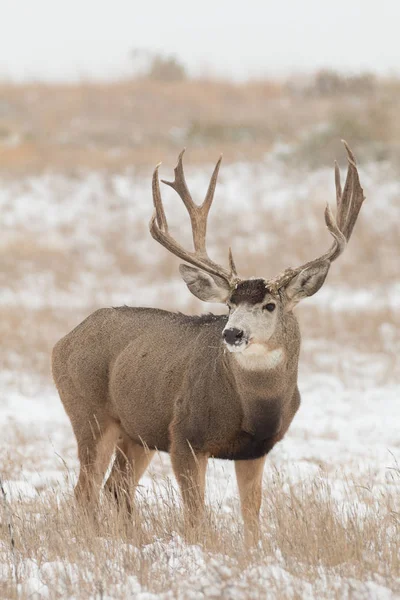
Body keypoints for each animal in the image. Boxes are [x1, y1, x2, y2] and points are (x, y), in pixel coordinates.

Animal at [53, 141, 366, 544]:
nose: (232, 333)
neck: (252, 406)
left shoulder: (255, 450)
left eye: (270, 305)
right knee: (86, 489)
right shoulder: (184, 436)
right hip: (90, 413)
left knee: (116, 487)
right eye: (230, 304)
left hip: (137, 431)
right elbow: (195, 516)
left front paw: (252, 552)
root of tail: (64, 340)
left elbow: (252, 516)